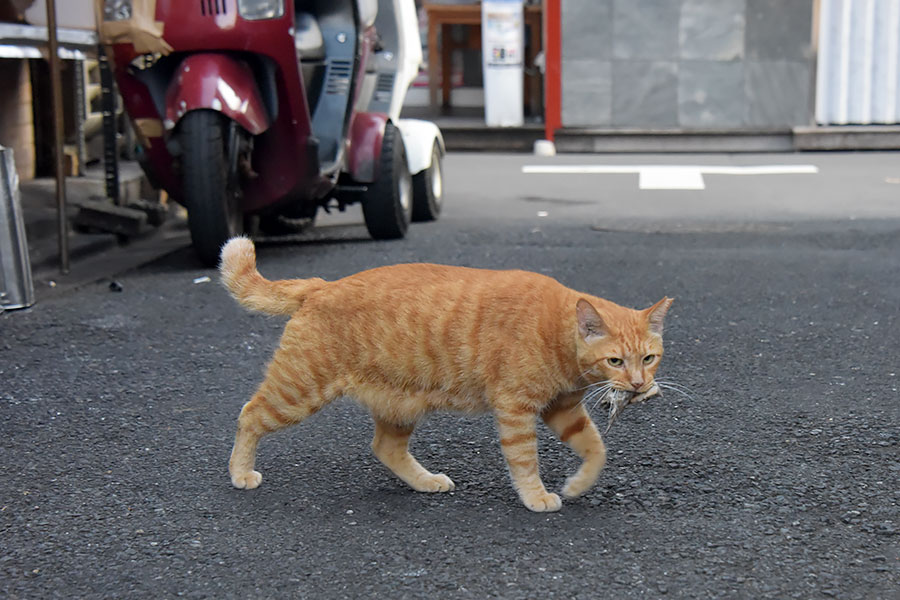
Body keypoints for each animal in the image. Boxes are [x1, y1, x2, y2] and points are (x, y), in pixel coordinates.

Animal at [216, 238, 668, 510]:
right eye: (616, 361)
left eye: (648, 358)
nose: (638, 385)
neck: (554, 330)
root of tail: (322, 284)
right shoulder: (516, 409)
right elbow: (525, 459)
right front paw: (536, 496)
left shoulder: (564, 410)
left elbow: (595, 449)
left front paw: (577, 486)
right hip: (298, 390)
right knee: (249, 414)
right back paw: (240, 472)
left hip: (399, 402)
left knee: (386, 448)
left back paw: (426, 482)